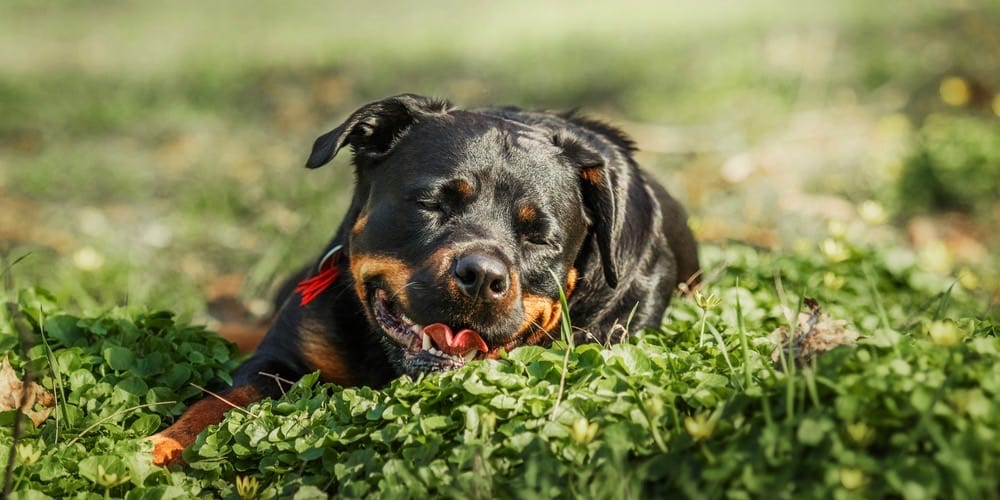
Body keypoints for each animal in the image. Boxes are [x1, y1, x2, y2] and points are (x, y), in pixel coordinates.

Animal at [148, 94, 700, 464]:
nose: (482, 275)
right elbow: (213, 406)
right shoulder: (281, 358)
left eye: (540, 235)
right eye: (432, 203)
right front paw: (157, 448)